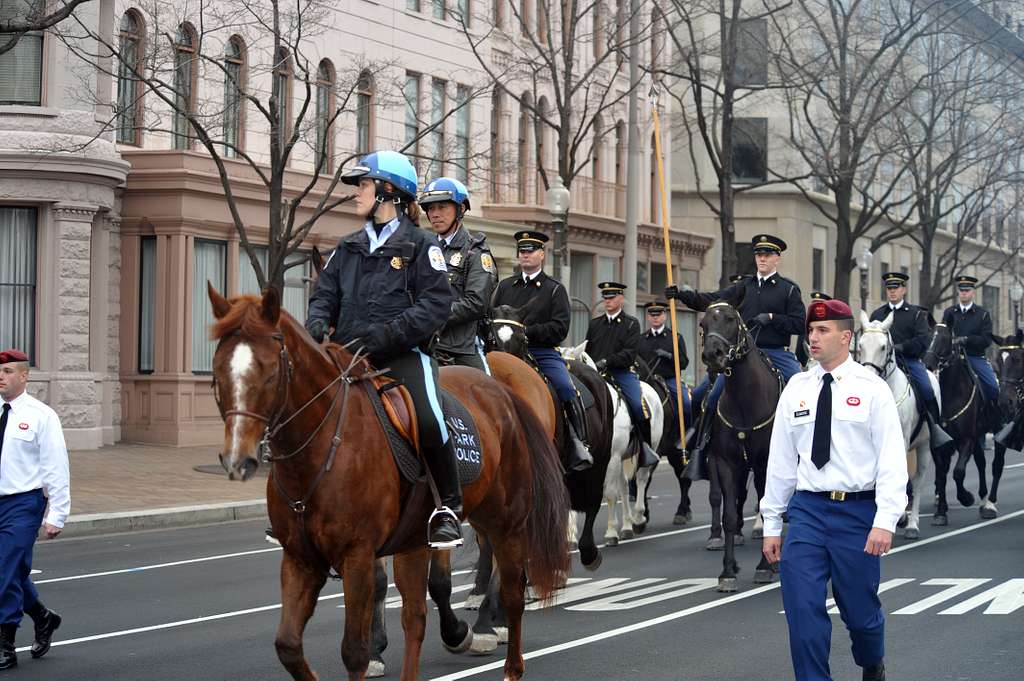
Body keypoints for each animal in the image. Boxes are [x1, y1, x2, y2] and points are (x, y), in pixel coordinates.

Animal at [208, 284, 573, 675]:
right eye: (217, 372)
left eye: (270, 373)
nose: (237, 459)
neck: (325, 444)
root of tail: (504, 387)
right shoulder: (305, 556)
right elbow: (298, 638)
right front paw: (377, 649)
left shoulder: (361, 548)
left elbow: (432, 586)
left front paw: (455, 633)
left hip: (505, 515)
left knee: (507, 577)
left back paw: (493, 625)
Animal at [561, 342, 663, 544]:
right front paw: (571, 537)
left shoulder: (612, 458)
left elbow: (609, 493)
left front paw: (610, 533)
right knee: (624, 486)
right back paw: (627, 526)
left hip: (647, 450)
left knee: (641, 479)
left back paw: (638, 519)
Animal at [856, 311, 937, 540]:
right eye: (861, 345)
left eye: (883, 347)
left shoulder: (900, 440)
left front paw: (901, 517)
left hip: (924, 447)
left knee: (917, 481)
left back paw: (912, 524)